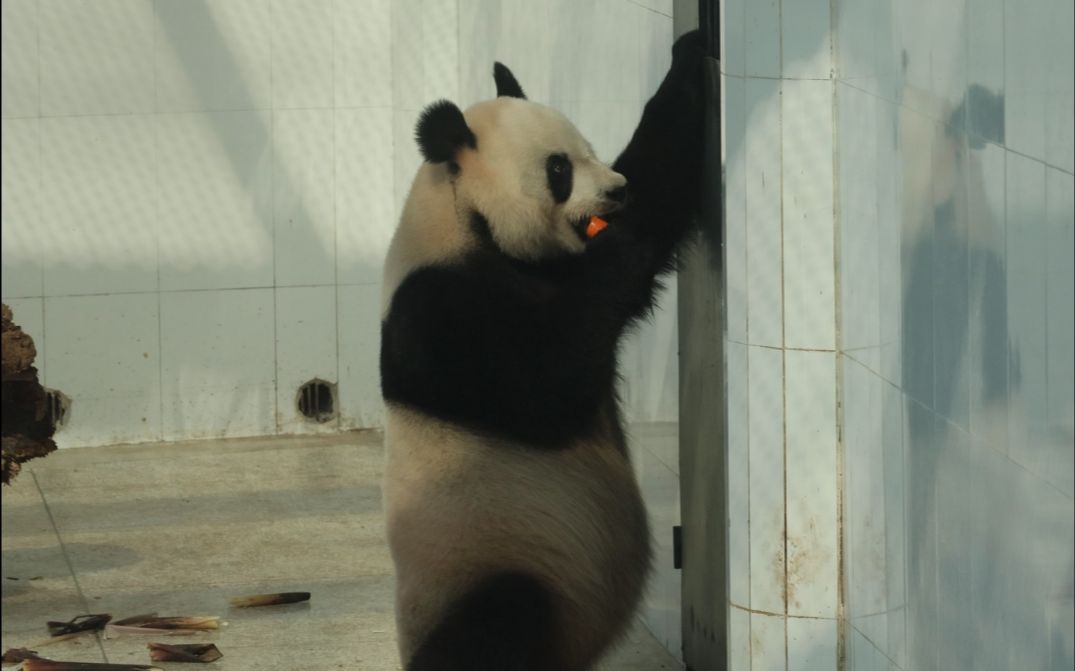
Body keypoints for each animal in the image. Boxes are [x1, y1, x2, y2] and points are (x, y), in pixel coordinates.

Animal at [378, 30, 705, 671]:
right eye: (559, 168)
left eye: (591, 150)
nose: (616, 191)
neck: (464, 218)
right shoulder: (435, 310)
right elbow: (545, 391)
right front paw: (624, 236)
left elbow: (659, 176)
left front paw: (692, 55)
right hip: (484, 562)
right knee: (500, 619)